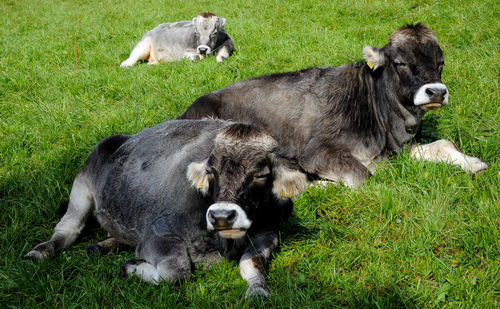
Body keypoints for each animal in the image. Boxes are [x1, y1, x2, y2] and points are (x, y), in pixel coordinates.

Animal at [26, 118, 308, 298]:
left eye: (260, 175)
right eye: (211, 171)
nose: (221, 216)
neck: (224, 244)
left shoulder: (269, 231)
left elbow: (253, 262)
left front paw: (257, 290)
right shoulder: (158, 234)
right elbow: (175, 272)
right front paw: (132, 267)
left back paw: (102, 246)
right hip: (81, 189)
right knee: (67, 229)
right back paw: (40, 252)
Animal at [178, 22, 486, 186]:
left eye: (441, 62)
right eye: (400, 63)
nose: (436, 92)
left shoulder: (402, 147)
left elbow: (443, 144)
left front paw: (473, 163)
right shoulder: (317, 151)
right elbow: (366, 175)